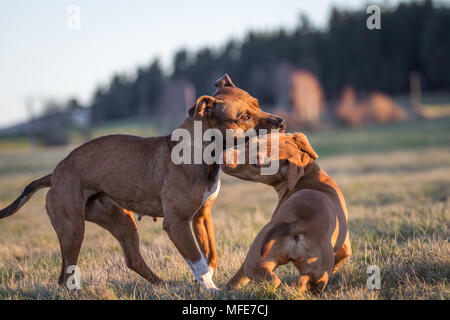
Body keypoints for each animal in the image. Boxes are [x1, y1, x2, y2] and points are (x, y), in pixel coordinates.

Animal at [0, 74, 286, 290]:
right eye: (244, 117)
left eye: (258, 103)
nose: (281, 122)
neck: (200, 150)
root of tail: (54, 174)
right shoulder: (177, 223)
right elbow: (197, 259)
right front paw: (210, 288)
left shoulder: (202, 215)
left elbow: (210, 254)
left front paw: (205, 281)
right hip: (73, 230)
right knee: (65, 274)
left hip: (121, 223)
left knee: (132, 260)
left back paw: (162, 285)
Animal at [221, 133, 352, 296]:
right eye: (251, 141)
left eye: (257, 164)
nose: (223, 157)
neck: (308, 176)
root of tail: (298, 223)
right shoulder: (344, 248)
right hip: (317, 275)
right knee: (304, 281)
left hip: (253, 258)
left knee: (268, 280)